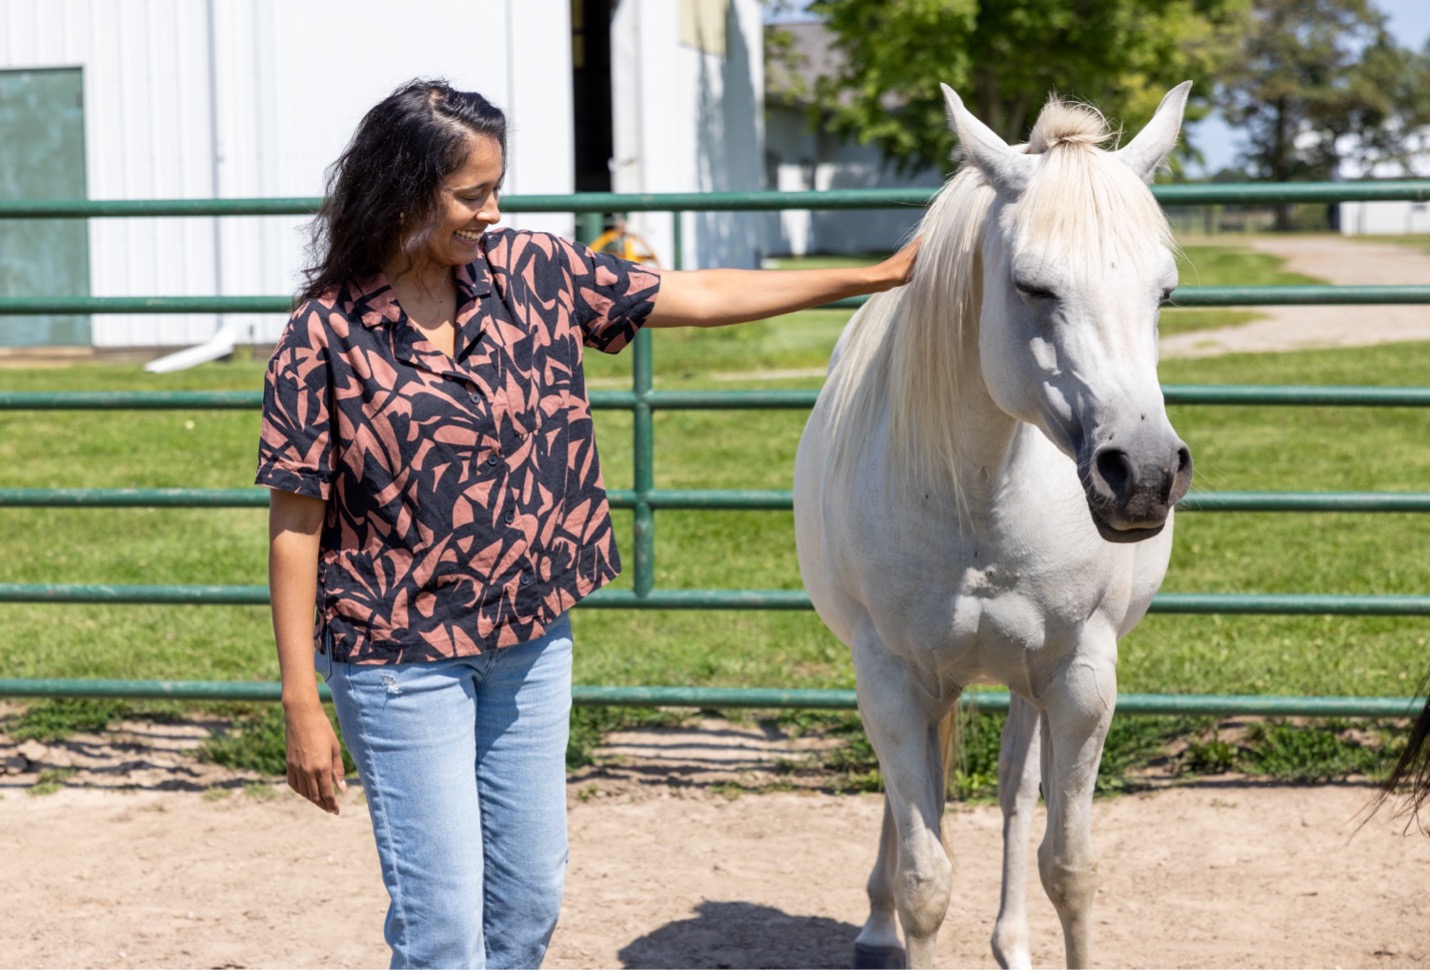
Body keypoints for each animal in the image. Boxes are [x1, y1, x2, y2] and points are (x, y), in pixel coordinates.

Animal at [795, 83, 1195, 966]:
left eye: (1165, 293)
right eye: (1032, 287)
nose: (1145, 475)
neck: (980, 503)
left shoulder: (1080, 677)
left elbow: (1069, 865)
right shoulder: (891, 679)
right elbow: (925, 879)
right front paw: (896, 920)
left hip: (1024, 681)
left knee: (1015, 790)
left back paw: (1011, 942)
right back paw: (875, 928)